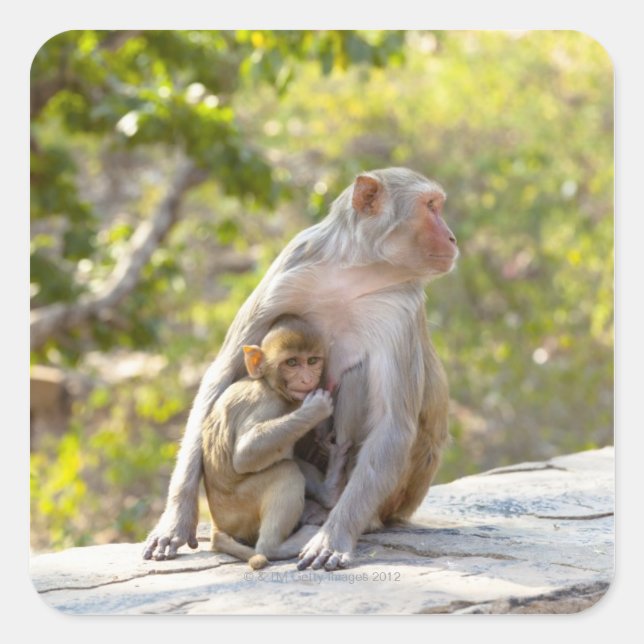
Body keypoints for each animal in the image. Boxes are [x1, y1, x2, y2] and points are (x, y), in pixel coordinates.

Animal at [202, 315, 350, 569]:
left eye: (312, 360)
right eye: (292, 362)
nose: (307, 379)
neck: (270, 386)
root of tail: (217, 525)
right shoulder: (268, 404)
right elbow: (245, 454)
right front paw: (316, 409)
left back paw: (329, 492)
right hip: (240, 509)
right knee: (286, 470)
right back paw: (276, 547)